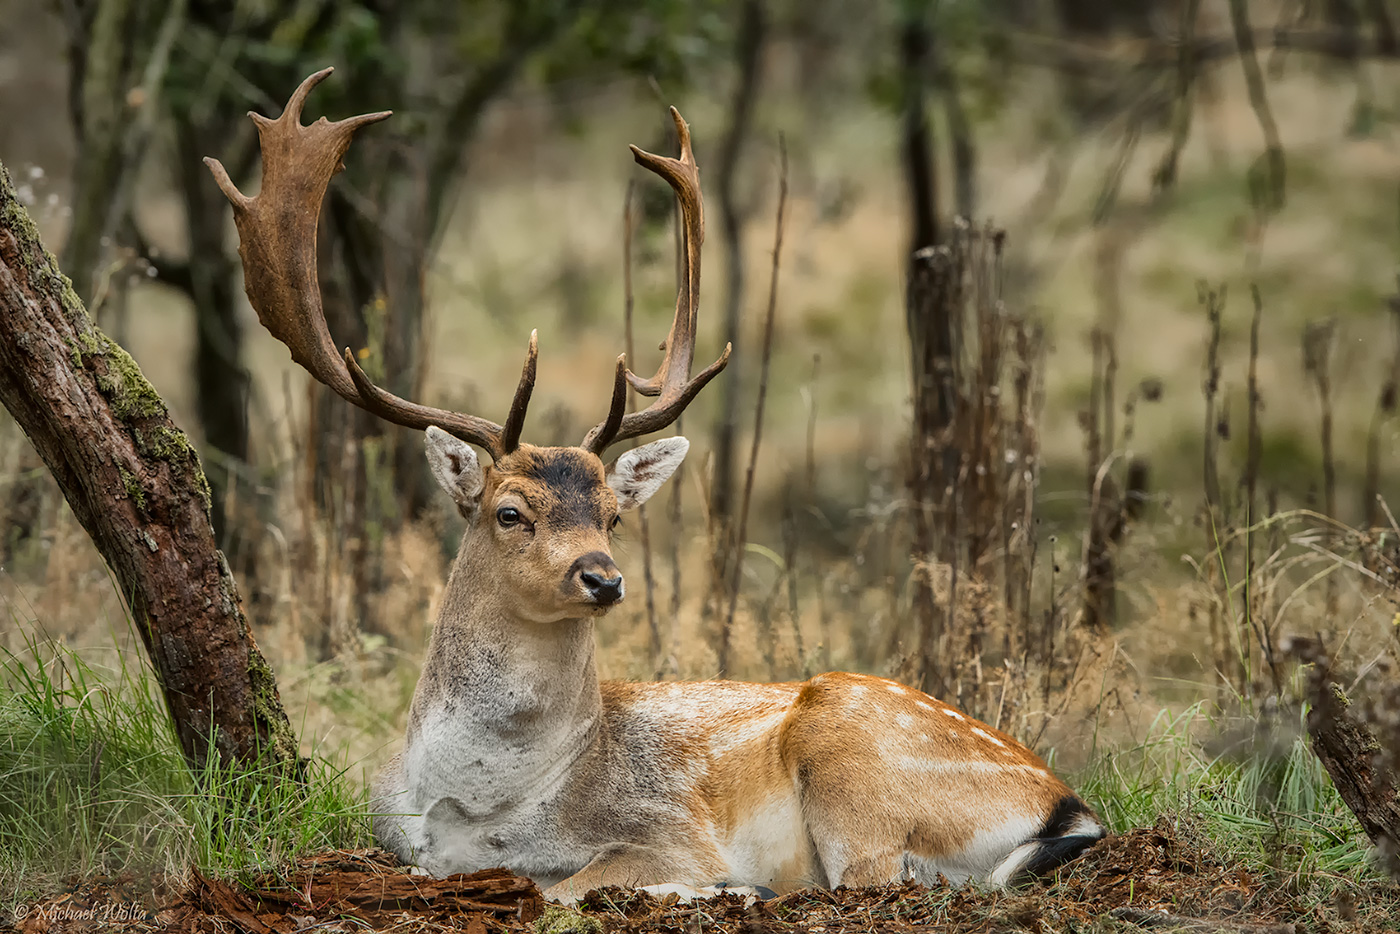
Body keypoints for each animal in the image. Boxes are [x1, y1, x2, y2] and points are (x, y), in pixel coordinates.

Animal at [207, 71, 1103, 907]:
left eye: (611, 514)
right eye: (509, 512)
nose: (602, 578)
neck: (473, 804)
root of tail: (1069, 804)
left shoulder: (665, 828)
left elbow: (562, 883)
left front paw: (707, 886)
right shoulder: (392, 837)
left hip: (853, 757)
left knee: (868, 880)